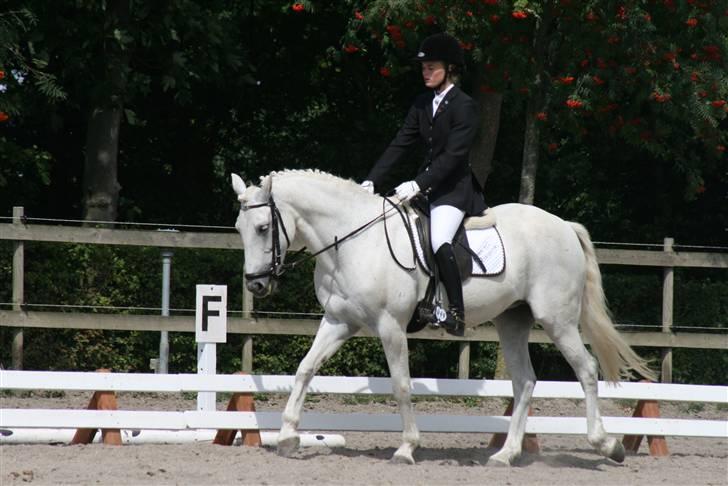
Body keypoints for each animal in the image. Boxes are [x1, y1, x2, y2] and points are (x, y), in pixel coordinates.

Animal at [231, 169, 655, 466]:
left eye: (263, 228)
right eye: (238, 228)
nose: (256, 285)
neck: (351, 242)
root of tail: (563, 225)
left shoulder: (390, 326)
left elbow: (401, 385)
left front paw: (406, 448)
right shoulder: (339, 321)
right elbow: (305, 369)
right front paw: (288, 436)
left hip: (558, 320)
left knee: (586, 370)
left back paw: (608, 445)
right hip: (513, 321)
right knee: (525, 382)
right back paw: (506, 455)